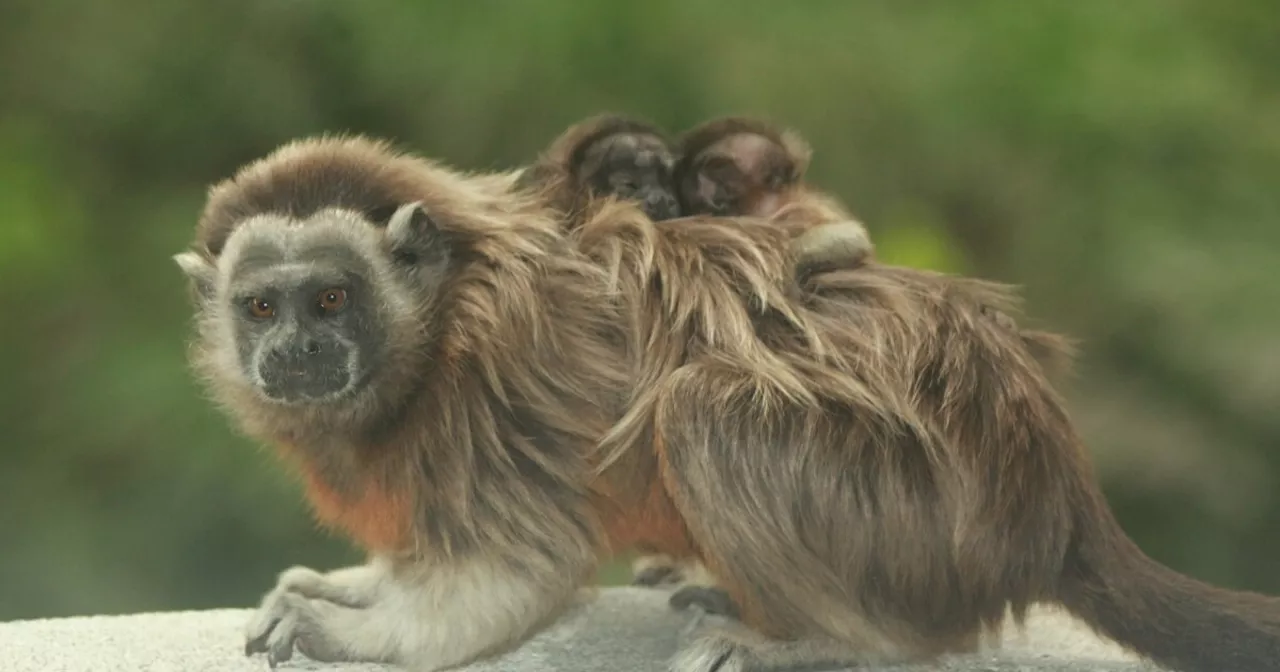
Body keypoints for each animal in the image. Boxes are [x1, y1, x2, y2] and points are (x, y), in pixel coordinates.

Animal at [177, 133, 1280, 665]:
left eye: (330, 299)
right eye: (261, 306)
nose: (295, 350)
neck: (436, 328)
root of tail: (1050, 490)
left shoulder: (492, 401)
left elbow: (513, 572)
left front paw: (352, 632)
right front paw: (348, 586)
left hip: (929, 527)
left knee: (703, 412)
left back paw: (840, 644)